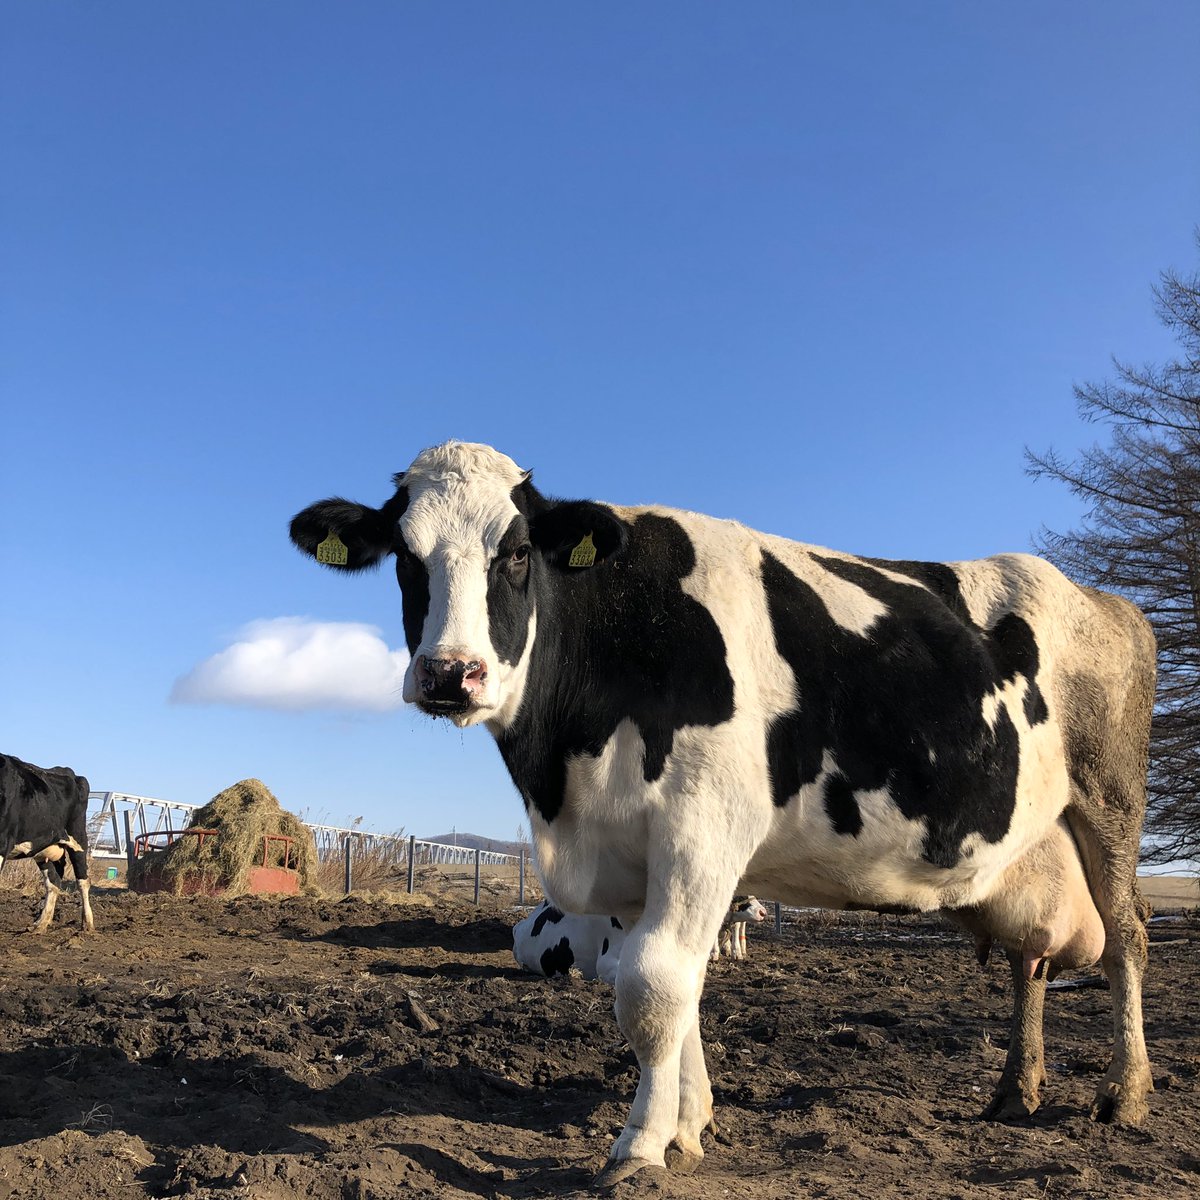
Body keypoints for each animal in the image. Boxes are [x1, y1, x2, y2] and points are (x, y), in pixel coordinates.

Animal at [0, 754, 95, 933]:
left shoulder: (3, 843)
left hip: (78, 839)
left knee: (83, 881)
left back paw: (88, 924)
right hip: (43, 849)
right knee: (54, 881)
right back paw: (41, 923)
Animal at [290, 440, 1156, 1184]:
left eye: (517, 553)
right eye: (406, 556)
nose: (450, 673)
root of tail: (1108, 602)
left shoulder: (703, 827)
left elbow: (651, 989)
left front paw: (639, 1148)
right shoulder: (634, 851)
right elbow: (681, 988)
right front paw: (687, 1124)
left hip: (1110, 805)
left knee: (1128, 938)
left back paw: (1126, 1092)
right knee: (1027, 961)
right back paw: (1015, 1089)